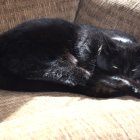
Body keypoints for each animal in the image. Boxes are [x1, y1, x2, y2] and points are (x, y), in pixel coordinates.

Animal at [0, 18, 140, 98]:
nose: (127, 74)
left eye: (134, 70)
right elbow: (115, 77)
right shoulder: (96, 70)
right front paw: (135, 87)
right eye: (115, 66)